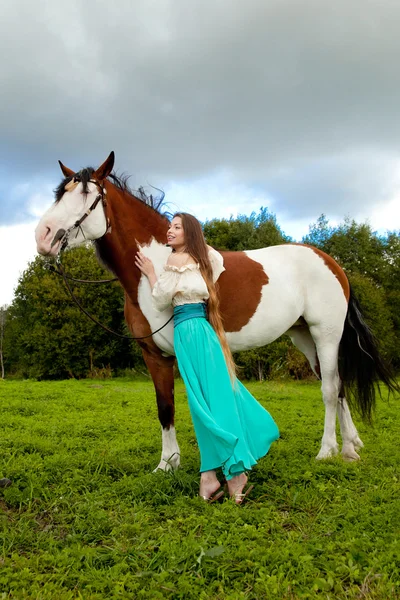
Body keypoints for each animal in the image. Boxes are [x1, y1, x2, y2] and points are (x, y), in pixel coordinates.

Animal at [34, 150, 396, 468]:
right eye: (60, 194)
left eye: (88, 196)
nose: (43, 236)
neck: (158, 268)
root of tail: (332, 263)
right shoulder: (154, 354)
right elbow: (165, 406)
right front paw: (167, 464)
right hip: (305, 337)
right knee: (339, 385)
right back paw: (350, 449)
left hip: (327, 333)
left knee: (331, 388)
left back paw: (328, 451)